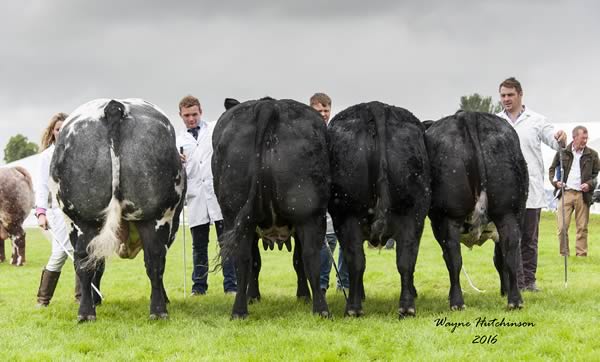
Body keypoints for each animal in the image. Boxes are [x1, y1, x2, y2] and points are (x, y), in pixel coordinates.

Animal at [51, 97, 185, 320]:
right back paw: (158, 309)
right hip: (158, 215)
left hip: (80, 219)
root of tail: (114, 106)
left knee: (85, 261)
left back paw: (86, 313)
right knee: (155, 260)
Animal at [213, 97, 330, 318]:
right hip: (308, 215)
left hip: (236, 215)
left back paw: (239, 311)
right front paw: (302, 295)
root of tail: (269, 104)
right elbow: (294, 261)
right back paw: (321, 309)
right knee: (310, 255)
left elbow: (258, 262)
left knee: (243, 257)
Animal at [328, 101, 432, 316]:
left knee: (356, 260)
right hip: (414, 213)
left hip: (346, 214)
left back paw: (353, 307)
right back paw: (406, 306)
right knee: (405, 260)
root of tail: (376, 106)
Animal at [424, 111, 528, 310]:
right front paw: (505, 291)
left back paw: (456, 302)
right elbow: (500, 259)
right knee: (511, 251)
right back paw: (515, 300)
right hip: (508, 212)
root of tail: (468, 115)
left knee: (453, 257)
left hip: (448, 216)